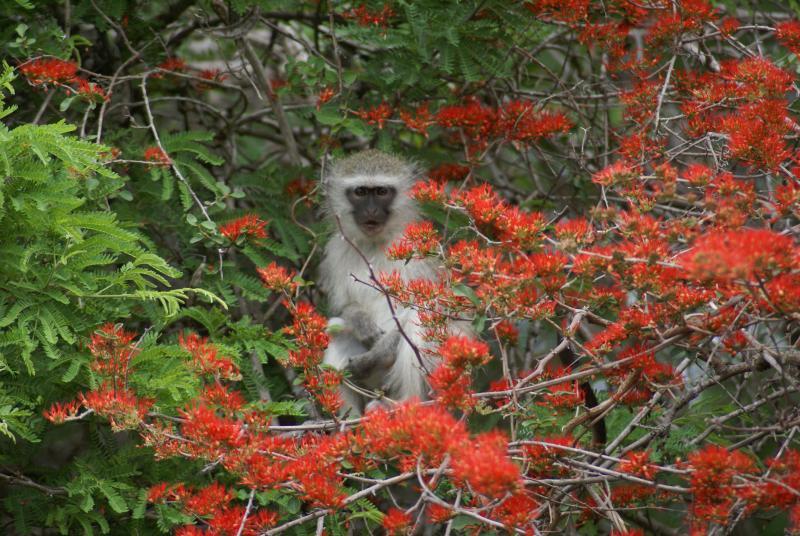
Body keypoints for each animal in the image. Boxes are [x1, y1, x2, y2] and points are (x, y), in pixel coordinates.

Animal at [319, 149, 438, 416]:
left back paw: (405, 405)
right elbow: (345, 306)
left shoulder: (418, 250)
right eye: (361, 192)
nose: (372, 211)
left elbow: (431, 311)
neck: (375, 244)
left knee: (417, 323)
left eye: (382, 192)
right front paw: (361, 321)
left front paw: (375, 357)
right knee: (336, 332)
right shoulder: (336, 248)